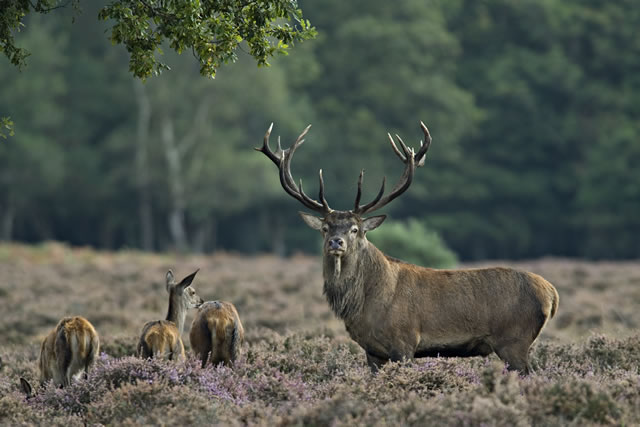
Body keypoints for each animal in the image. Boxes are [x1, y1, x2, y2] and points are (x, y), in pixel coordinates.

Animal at [258, 121, 556, 374]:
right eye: (325, 228)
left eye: (355, 229)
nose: (336, 242)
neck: (363, 304)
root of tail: (552, 294)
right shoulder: (372, 352)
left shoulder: (404, 342)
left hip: (514, 341)